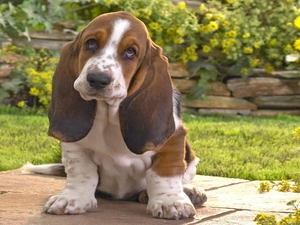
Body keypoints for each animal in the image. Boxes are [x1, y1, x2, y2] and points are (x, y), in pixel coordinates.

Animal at [28, 11, 207, 220]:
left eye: (130, 51)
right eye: (91, 43)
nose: (97, 79)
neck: (109, 113)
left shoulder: (173, 140)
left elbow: (164, 173)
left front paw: (171, 202)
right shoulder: (75, 146)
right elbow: (81, 172)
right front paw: (72, 198)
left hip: (191, 157)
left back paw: (187, 191)